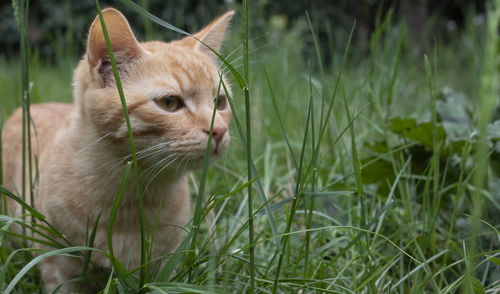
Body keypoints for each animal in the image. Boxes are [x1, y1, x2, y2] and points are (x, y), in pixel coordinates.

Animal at [0, 8, 234, 292]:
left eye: (219, 102)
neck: (134, 197)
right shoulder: (58, 264)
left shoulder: (163, 267)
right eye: (170, 102)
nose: (219, 130)